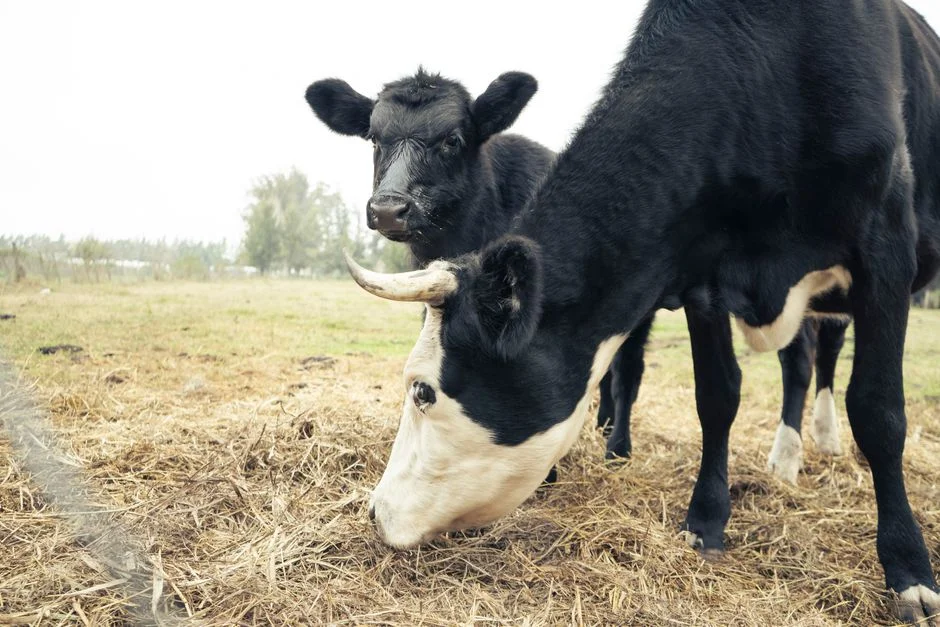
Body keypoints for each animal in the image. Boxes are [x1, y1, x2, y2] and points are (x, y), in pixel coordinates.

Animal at [343, 0, 940, 621]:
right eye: (373, 140)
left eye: (423, 391)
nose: (376, 510)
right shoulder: (704, 272)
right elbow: (716, 397)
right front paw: (706, 523)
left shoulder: (885, 249)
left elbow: (878, 410)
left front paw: (909, 570)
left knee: (811, 362)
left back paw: (808, 446)